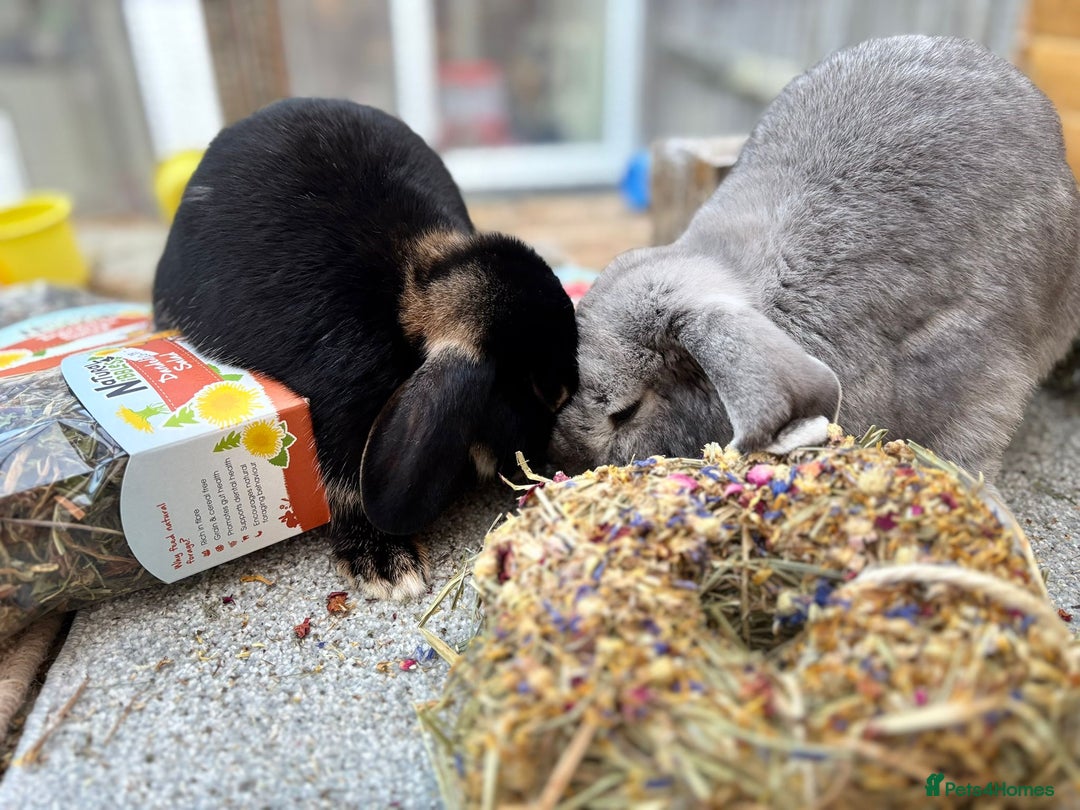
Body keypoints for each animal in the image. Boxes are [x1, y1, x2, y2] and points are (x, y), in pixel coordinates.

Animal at [153, 97, 578, 599]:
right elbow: (348, 492)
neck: (410, 290)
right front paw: (387, 565)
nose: (546, 461)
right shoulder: (343, 405)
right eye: (539, 391)